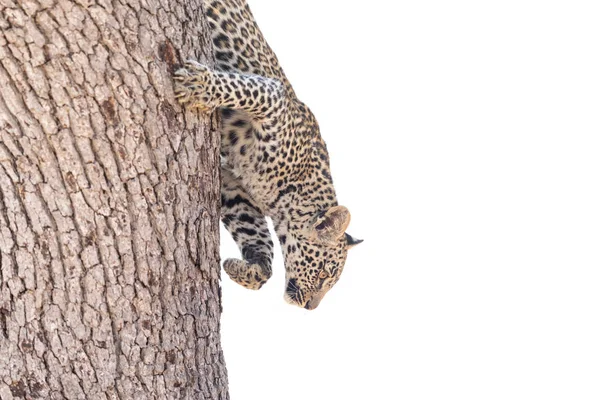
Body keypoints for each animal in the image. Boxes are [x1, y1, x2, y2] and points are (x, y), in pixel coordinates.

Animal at [173, 0, 360, 310]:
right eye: (323, 273)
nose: (311, 307)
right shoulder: (274, 97)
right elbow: (240, 89)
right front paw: (198, 85)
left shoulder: (231, 184)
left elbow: (258, 238)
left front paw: (245, 268)